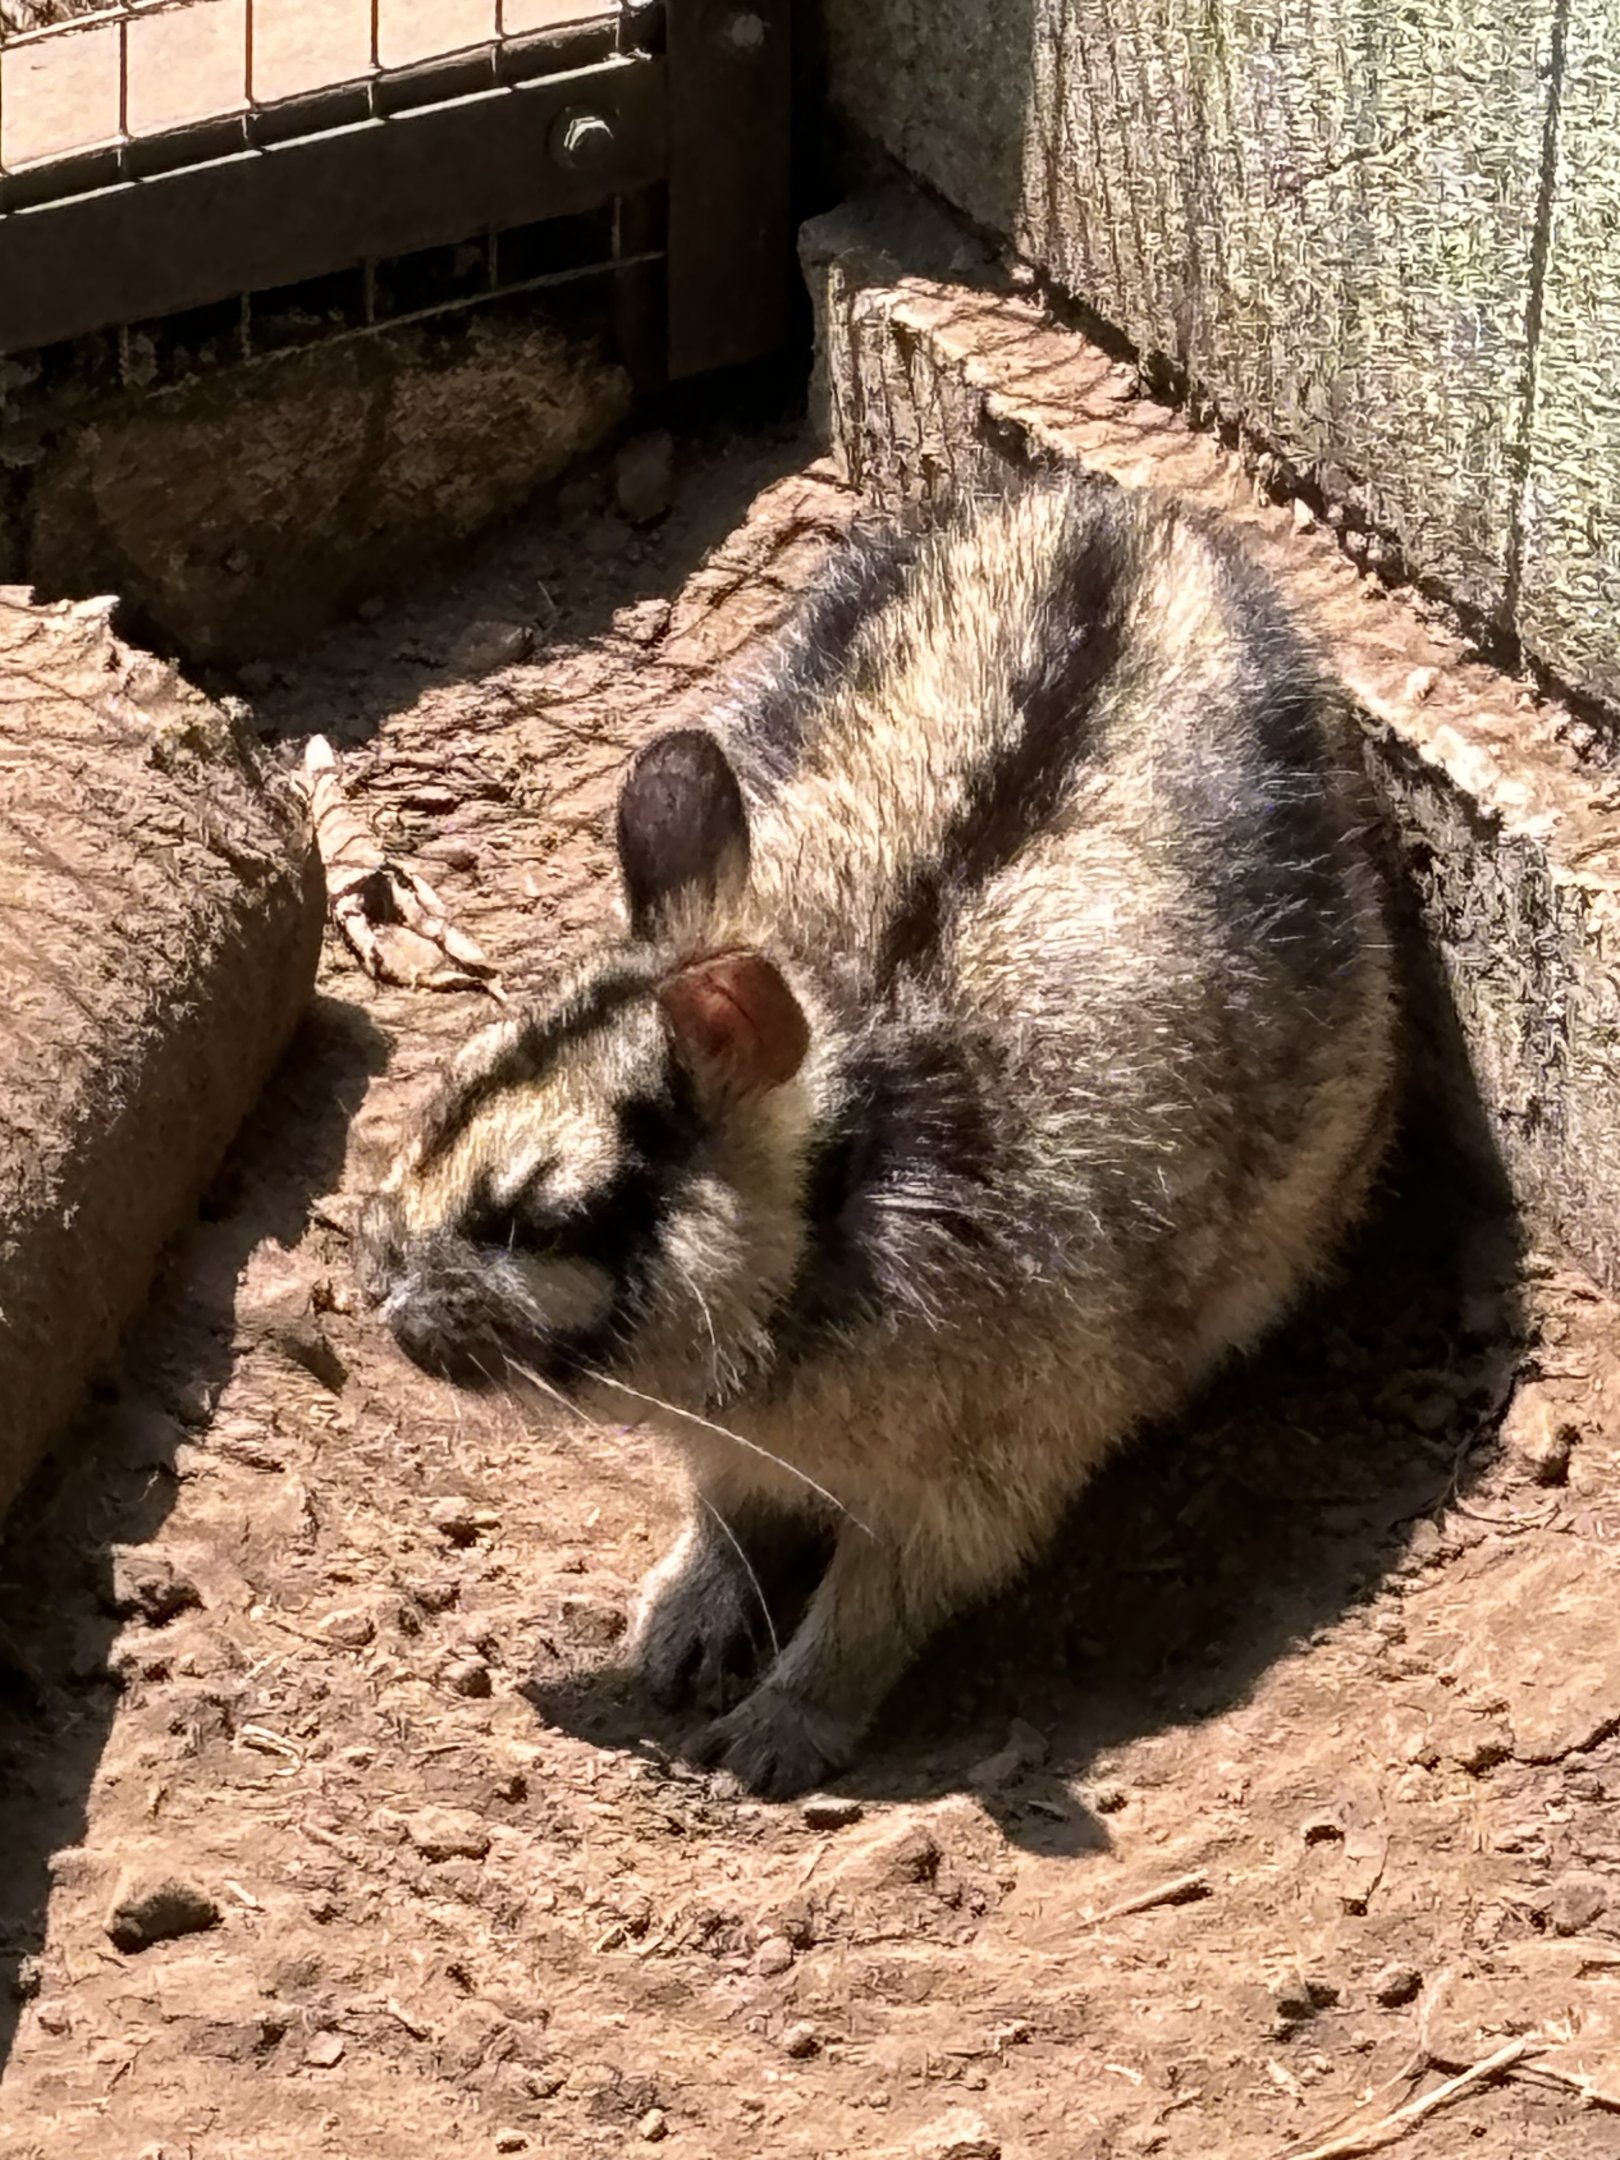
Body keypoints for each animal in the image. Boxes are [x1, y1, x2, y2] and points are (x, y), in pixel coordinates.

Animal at [357, 471, 1396, 1797]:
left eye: (543, 1216)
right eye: (450, 1091)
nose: (381, 1297)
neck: (836, 1206)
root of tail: (1119, 509)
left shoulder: (975, 1490)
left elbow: (867, 1613)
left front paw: (771, 1739)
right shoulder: (742, 1455)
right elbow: (731, 1525)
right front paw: (681, 1627)